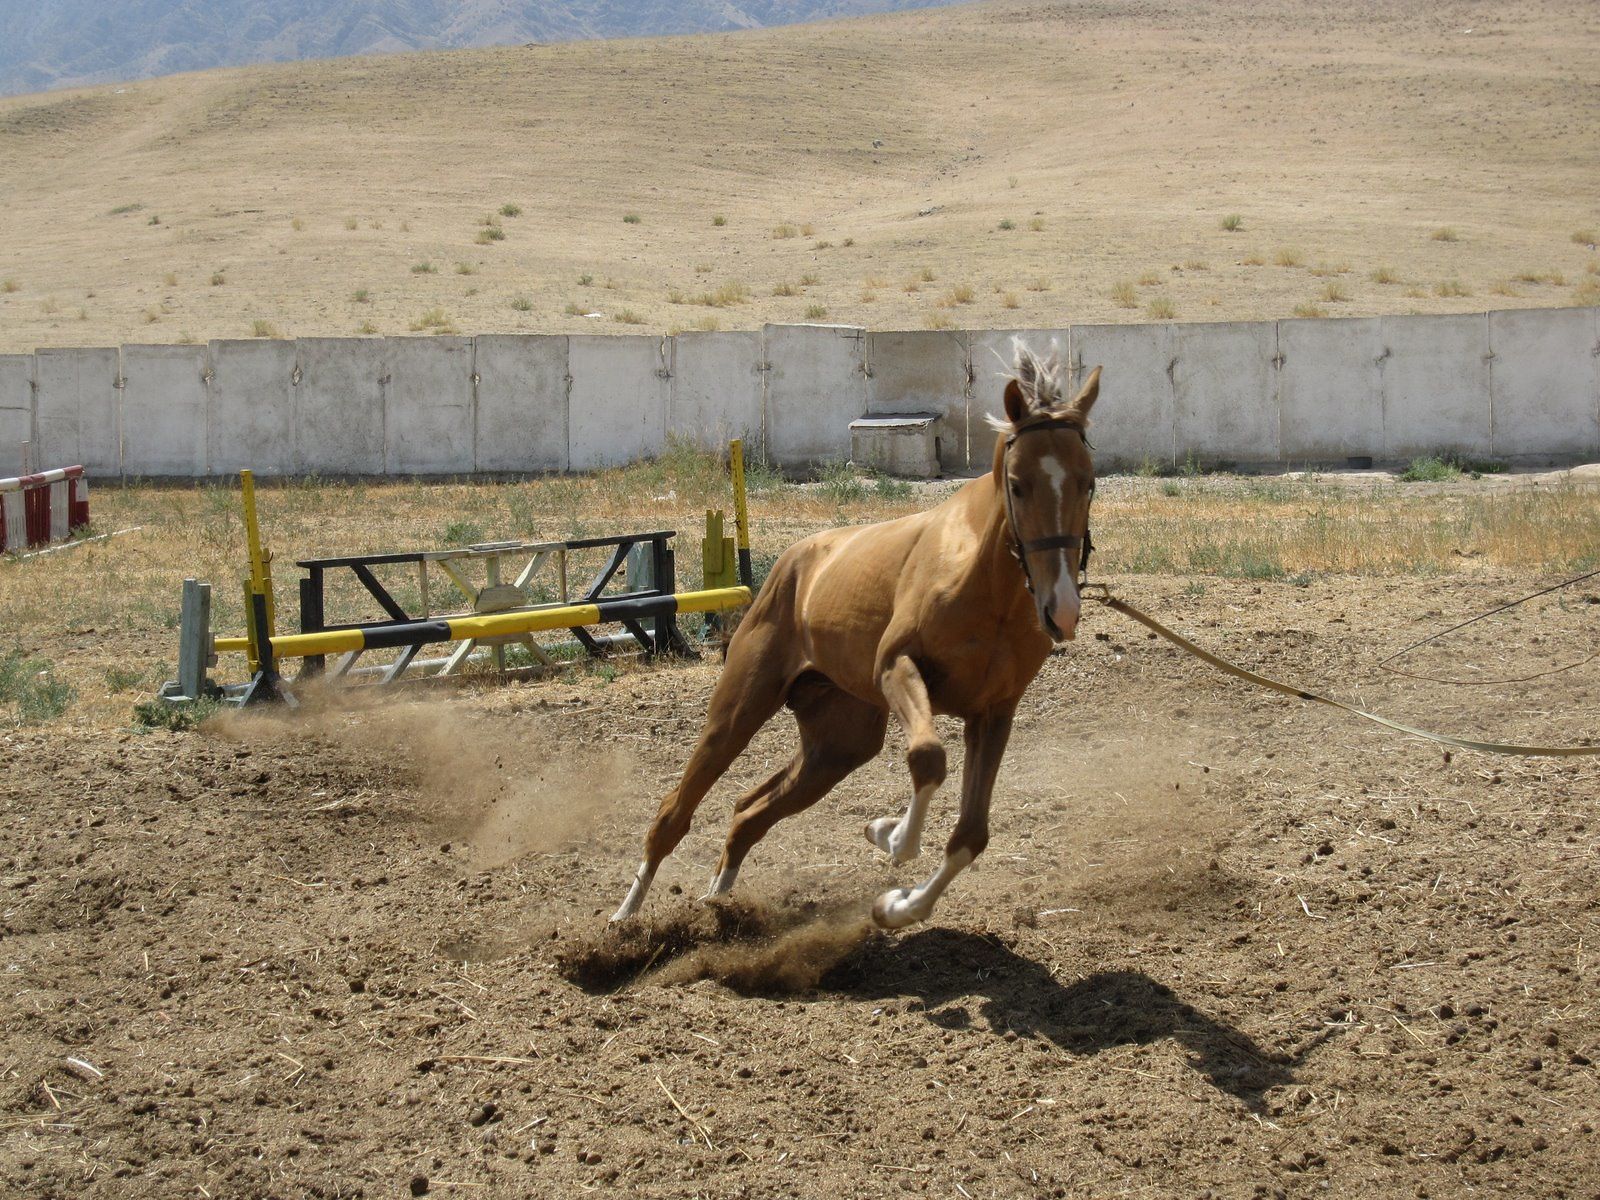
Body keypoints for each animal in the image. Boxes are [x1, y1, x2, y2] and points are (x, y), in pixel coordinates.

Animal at [611, 342, 1102, 929]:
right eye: (1018, 484)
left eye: (1089, 482)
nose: (1061, 609)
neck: (987, 585)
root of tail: (791, 565)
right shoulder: (896, 667)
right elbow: (927, 758)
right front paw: (889, 836)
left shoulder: (994, 713)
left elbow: (970, 836)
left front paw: (899, 905)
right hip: (738, 712)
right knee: (675, 813)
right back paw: (623, 919)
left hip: (838, 743)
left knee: (748, 811)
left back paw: (720, 903)